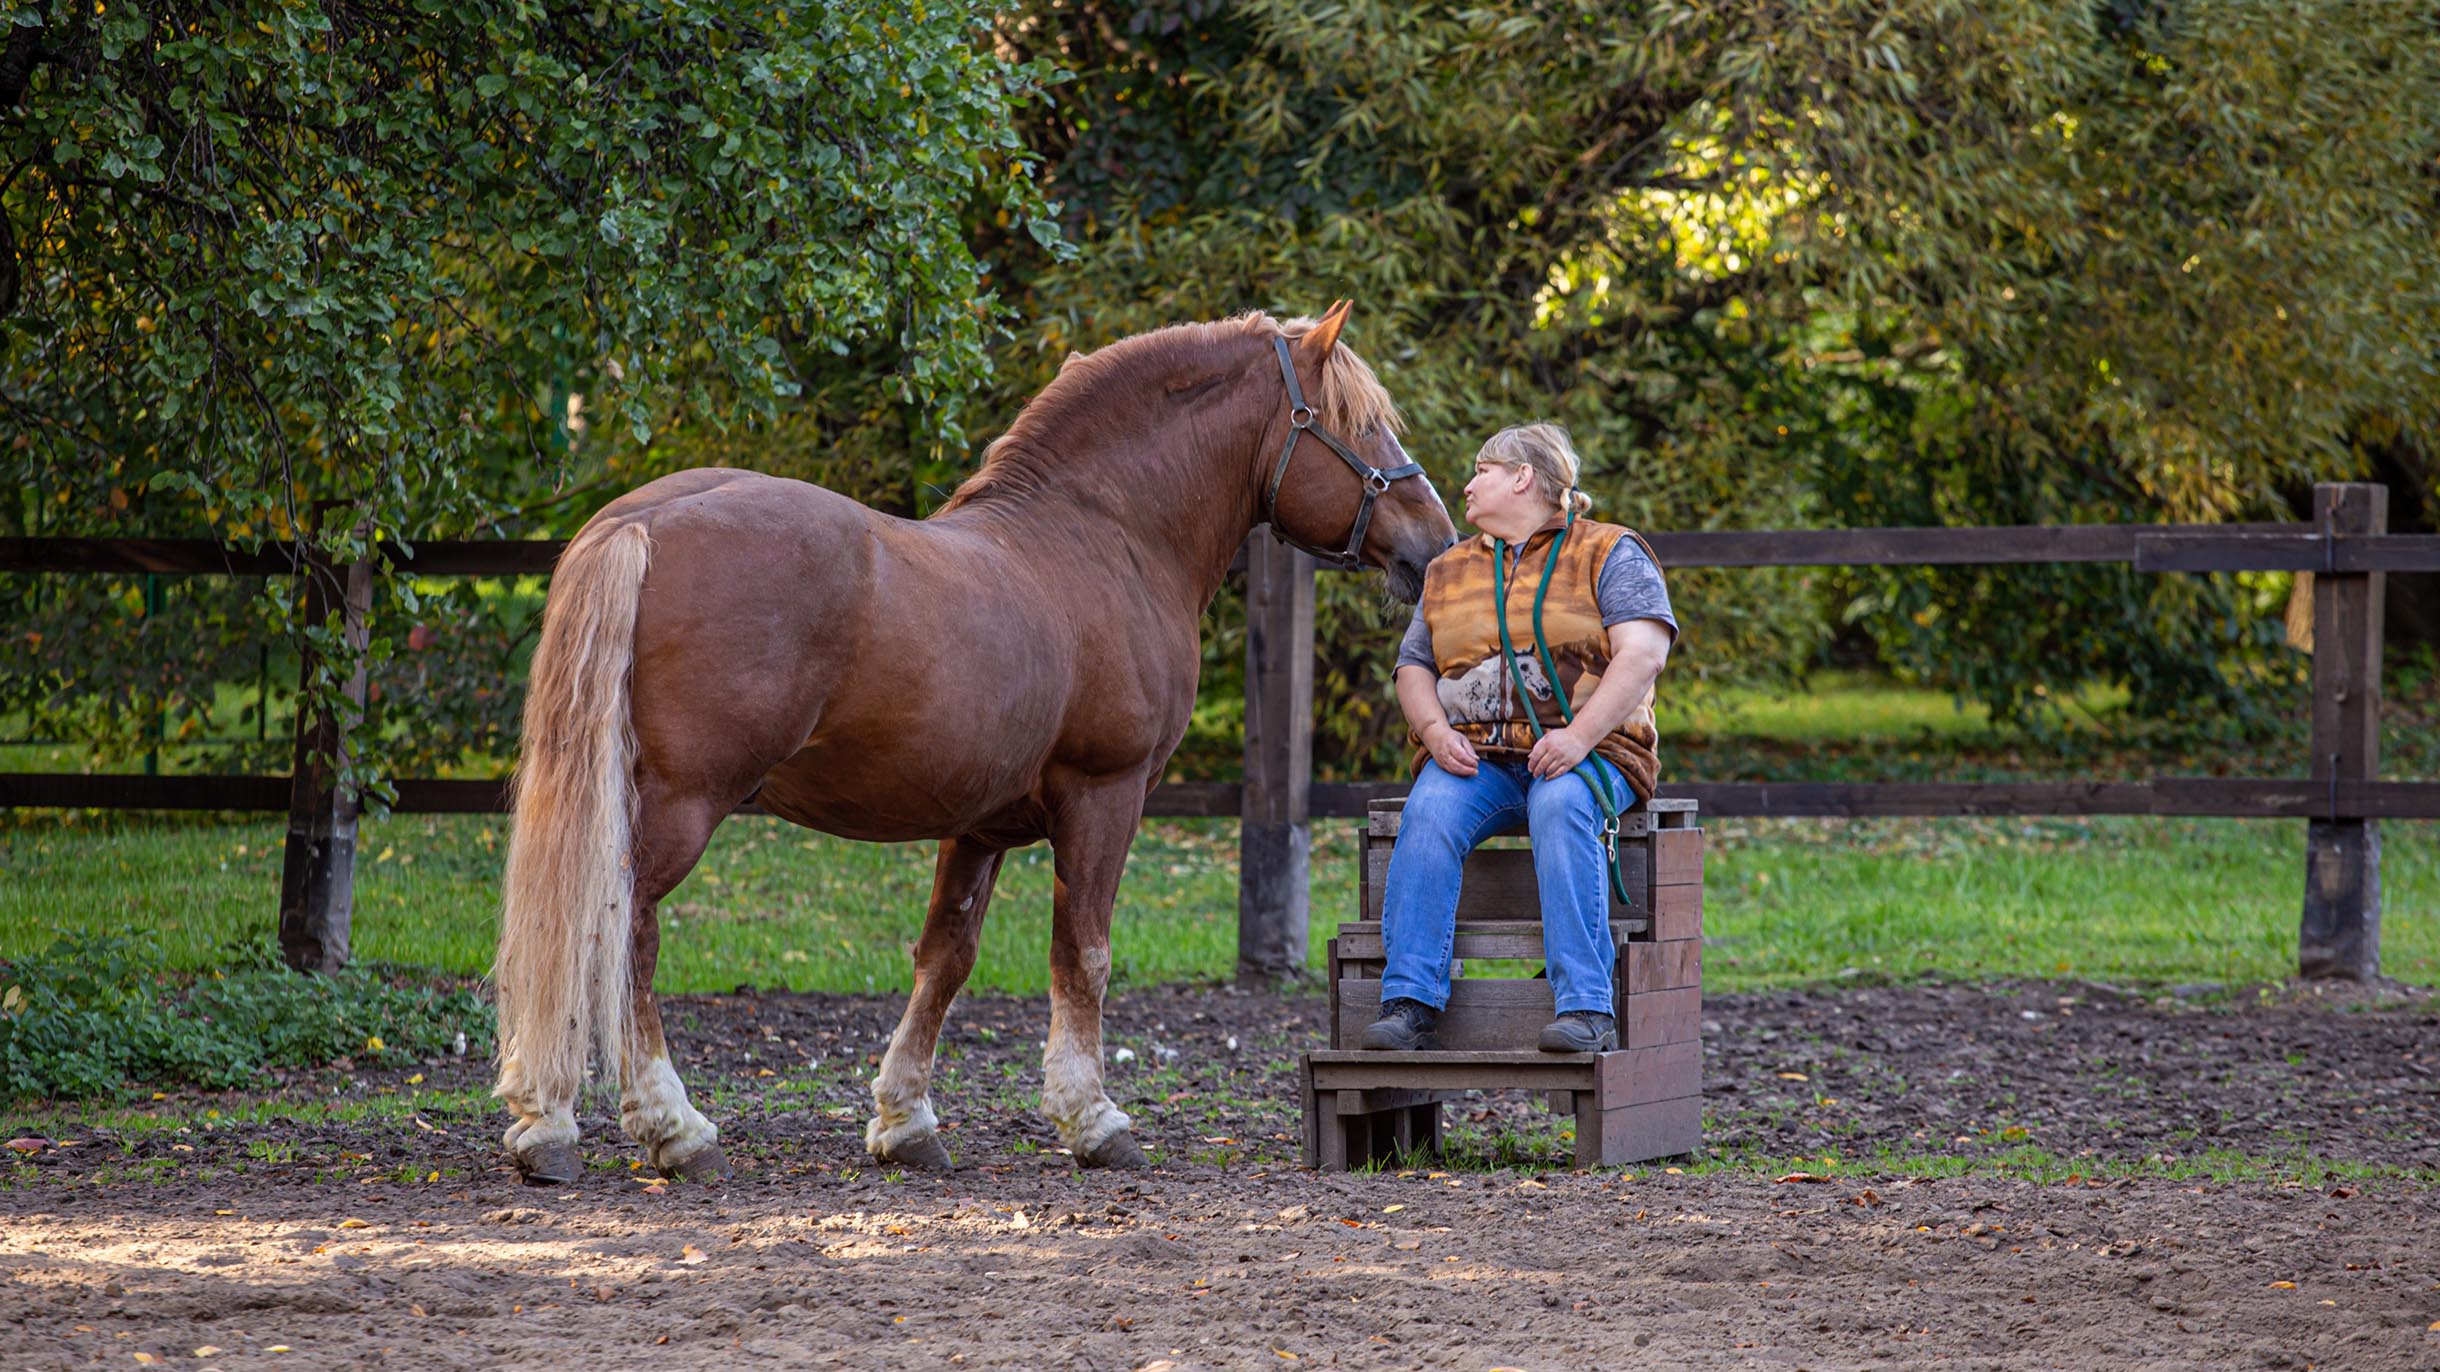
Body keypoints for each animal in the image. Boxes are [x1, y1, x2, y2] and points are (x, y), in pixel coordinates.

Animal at [485, 303, 1454, 1181]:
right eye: (1357, 423)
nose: (1436, 545)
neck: (1104, 538)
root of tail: (638, 522)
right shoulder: (1104, 797)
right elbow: (1084, 955)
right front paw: (1093, 1119)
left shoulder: (979, 823)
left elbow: (945, 959)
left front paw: (906, 1121)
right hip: (680, 806)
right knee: (623, 934)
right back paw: (661, 1129)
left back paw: (550, 1120)